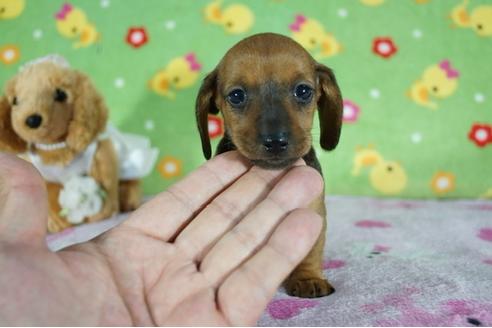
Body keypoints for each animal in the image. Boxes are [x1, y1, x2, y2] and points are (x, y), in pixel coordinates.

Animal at [195, 32, 342, 298]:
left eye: (303, 90)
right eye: (237, 96)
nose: (275, 141)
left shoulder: (314, 211)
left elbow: (310, 250)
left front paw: (307, 278)